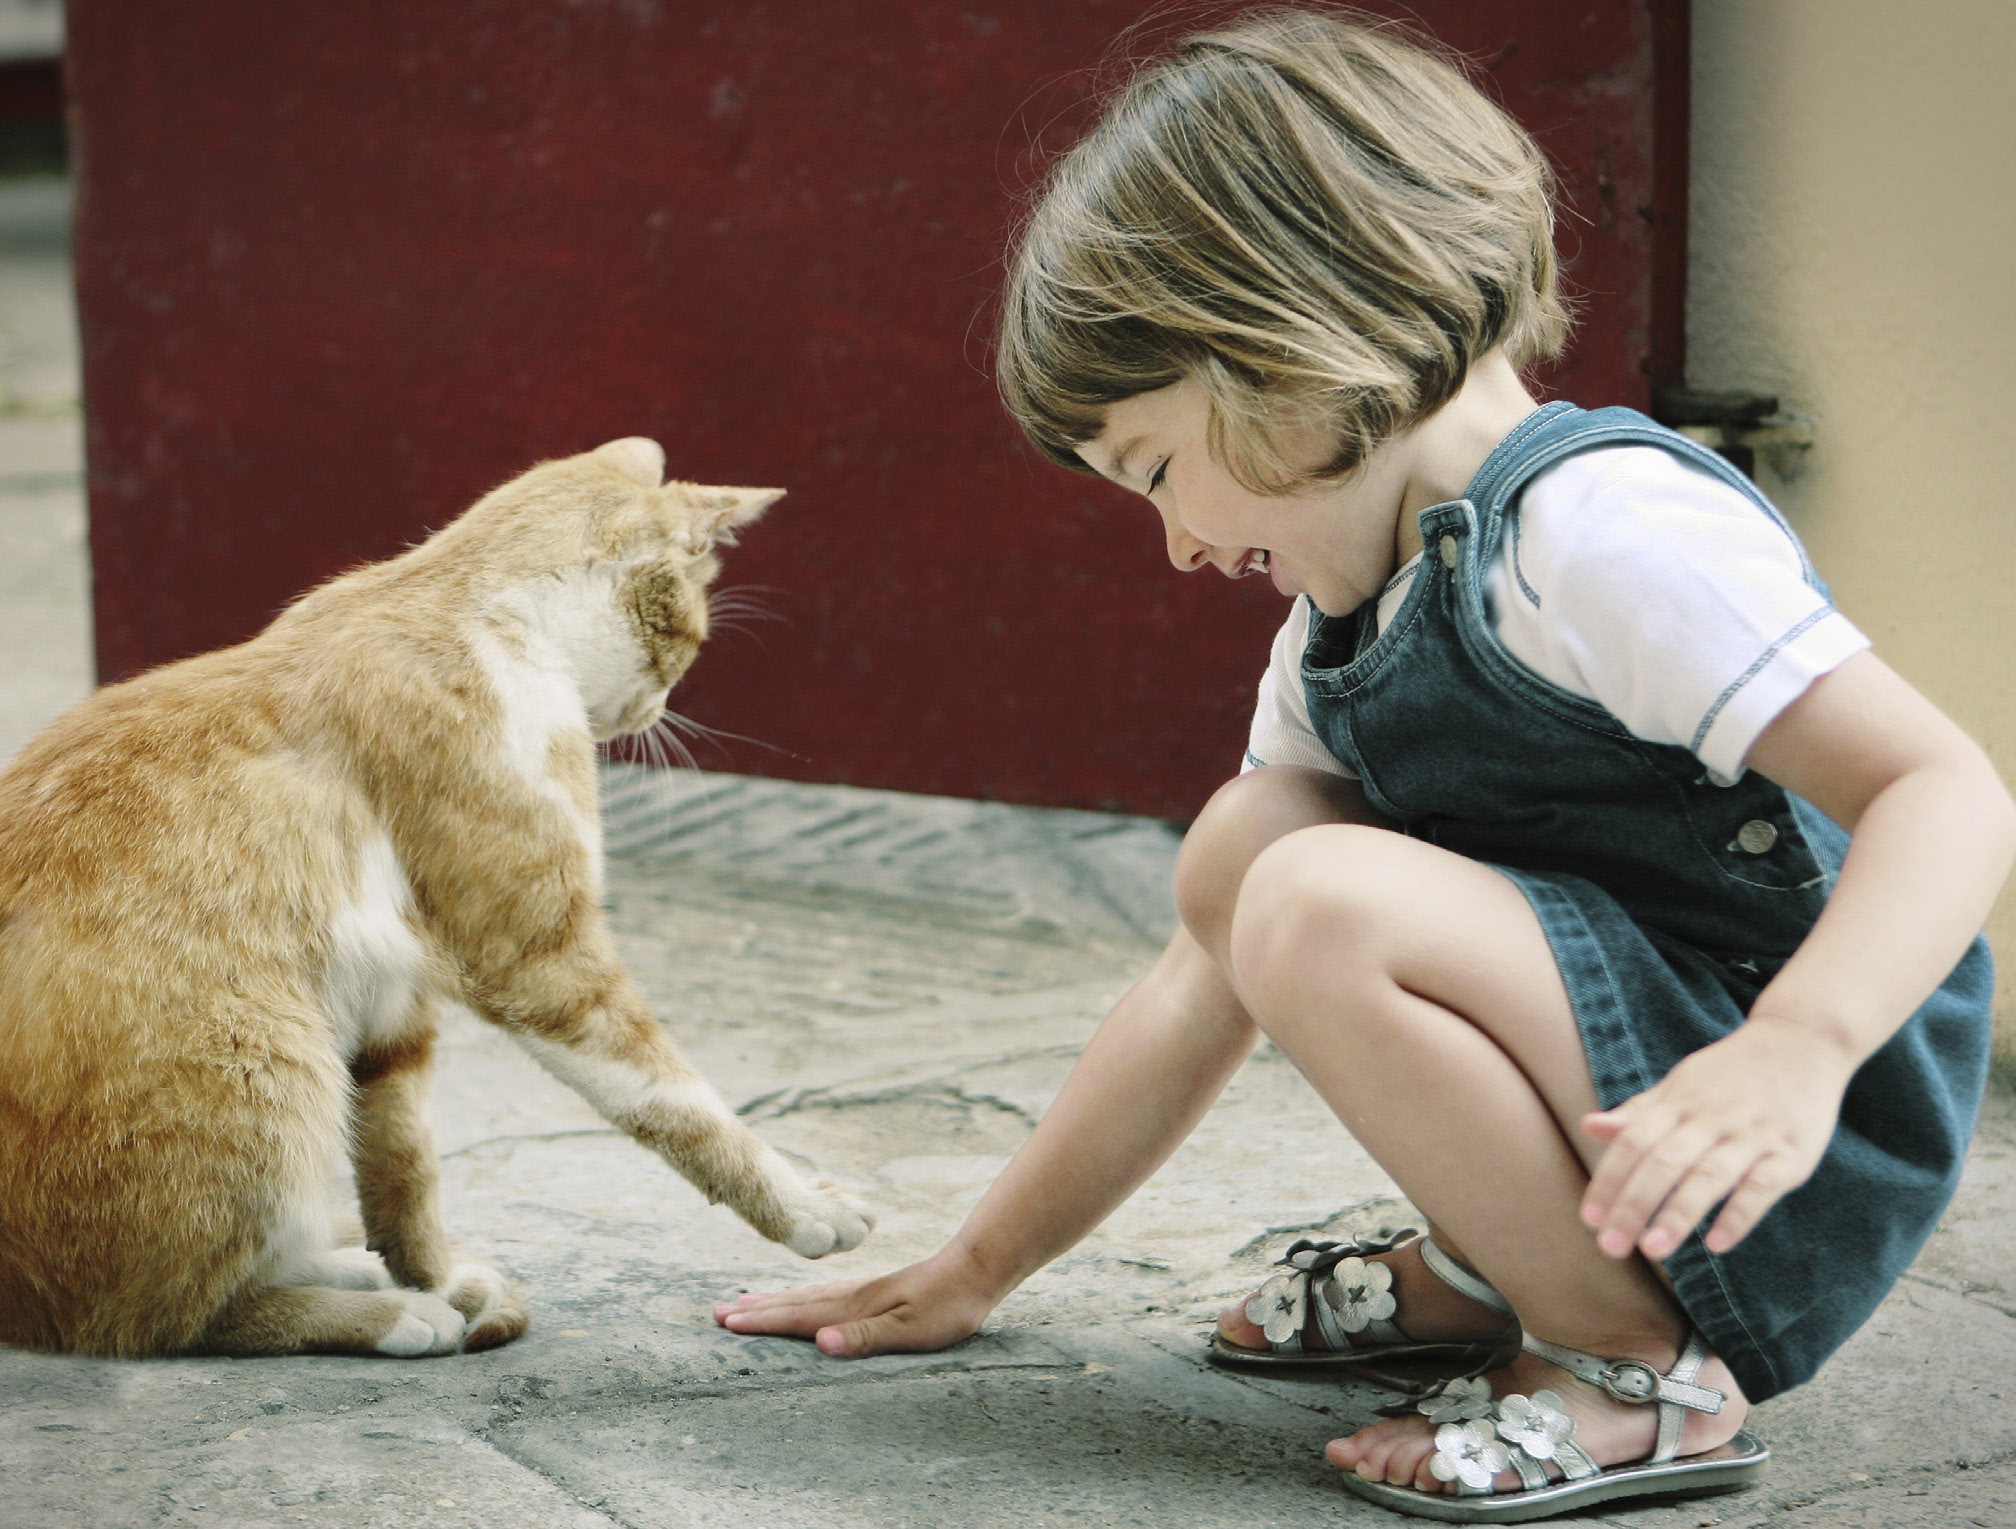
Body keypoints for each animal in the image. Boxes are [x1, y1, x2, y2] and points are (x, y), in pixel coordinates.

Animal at [0, 443, 874, 1363]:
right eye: (692, 642)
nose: (657, 710)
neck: (475, 610)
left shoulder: (394, 996)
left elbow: (404, 1168)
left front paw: (434, 1274)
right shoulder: (540, 961)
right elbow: (680, 1102)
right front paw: (805, 1207)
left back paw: (381, 1277)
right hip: (271, 1064)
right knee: (167, 1316)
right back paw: (388, 1316)